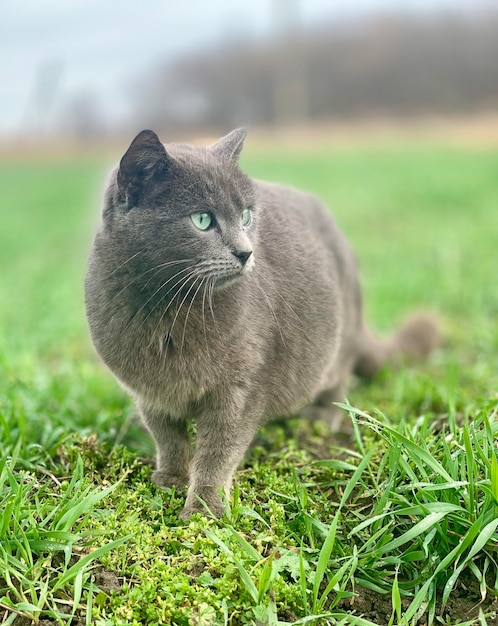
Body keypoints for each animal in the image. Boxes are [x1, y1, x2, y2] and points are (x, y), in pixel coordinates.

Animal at [85, 128, 440, 516]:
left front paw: (204, 507)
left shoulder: (241, 387)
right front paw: (170, 479)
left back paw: (321, 417)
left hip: (338, 340)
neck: (169, 306)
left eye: (245, 216)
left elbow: (218, 451)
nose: (245, 252)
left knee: (339, 378)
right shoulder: (150, 391)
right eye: (202, 220)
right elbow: (167, 436)